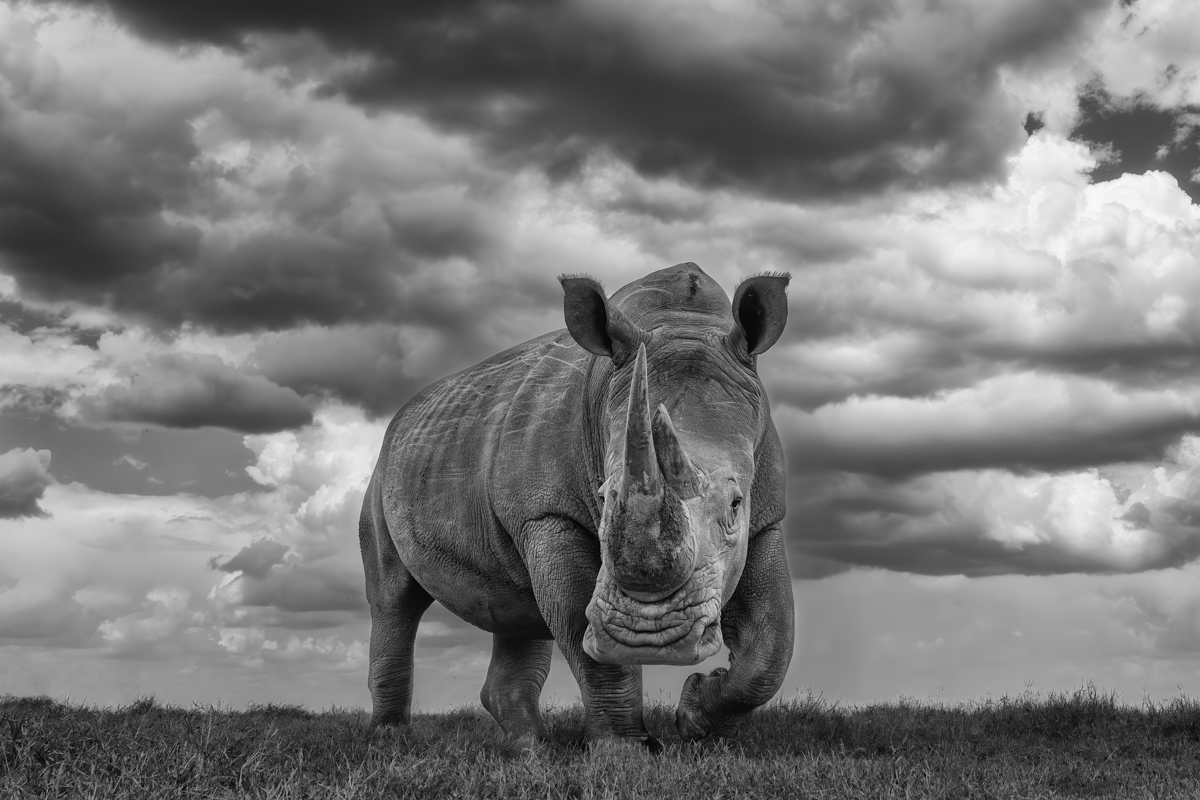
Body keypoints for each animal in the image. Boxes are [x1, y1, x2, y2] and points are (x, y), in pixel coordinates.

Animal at [359, 262, 794, 748]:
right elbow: (580, 629)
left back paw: (529, 749)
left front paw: (697, 717)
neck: (683, 322)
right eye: (603, 498)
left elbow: (773, 643)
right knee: (393, 597)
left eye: (736, 504)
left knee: (517, 609)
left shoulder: (767, 514)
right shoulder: (547, 513)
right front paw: (625, 751)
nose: (650, 640)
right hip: (383, 475)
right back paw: (389, 738)